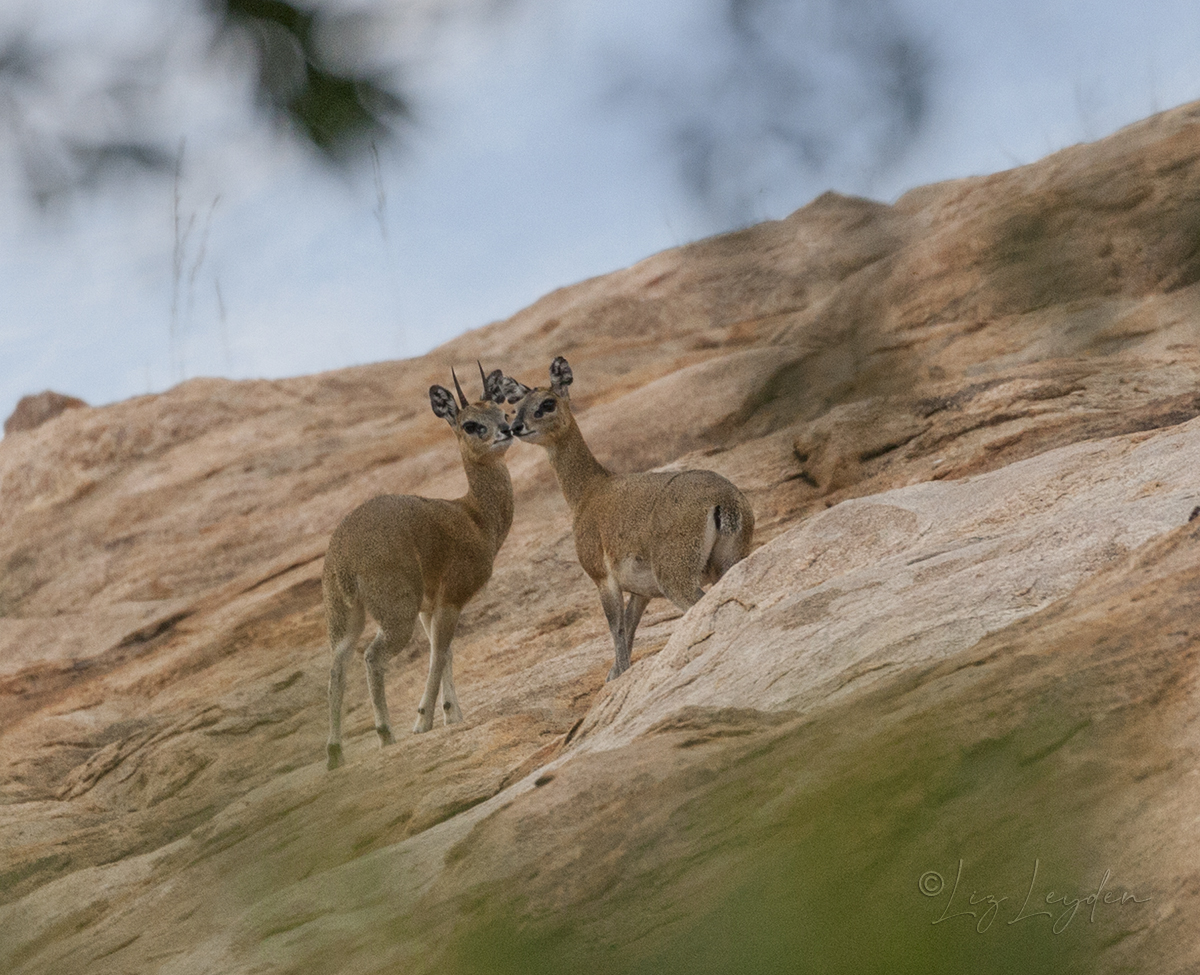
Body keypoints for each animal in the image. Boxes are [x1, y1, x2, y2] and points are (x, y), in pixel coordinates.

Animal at [321, 365, 513, 768]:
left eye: (502, 411)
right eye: (471, 424)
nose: (507, 431)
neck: (475, 518)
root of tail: (345, 554)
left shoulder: (431, 606)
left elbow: (446, 652)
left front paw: (452, 713)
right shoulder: (451, 599)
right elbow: (439, 654)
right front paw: (424, 720)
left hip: (345, 616)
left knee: (337, 667)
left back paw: (335, 754)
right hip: (396, 613)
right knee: (372, 657)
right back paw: (385, 733)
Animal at [504, 353, 748, 682]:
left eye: (547, 402)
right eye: (515, 406)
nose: (516, 427)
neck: (588, 492)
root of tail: (724, 500)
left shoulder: (603, 578)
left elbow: (616, 628)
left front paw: (617, 675)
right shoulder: (641, 592)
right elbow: (629, 627)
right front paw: (615, 674)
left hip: (676, 574)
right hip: (729, 562)